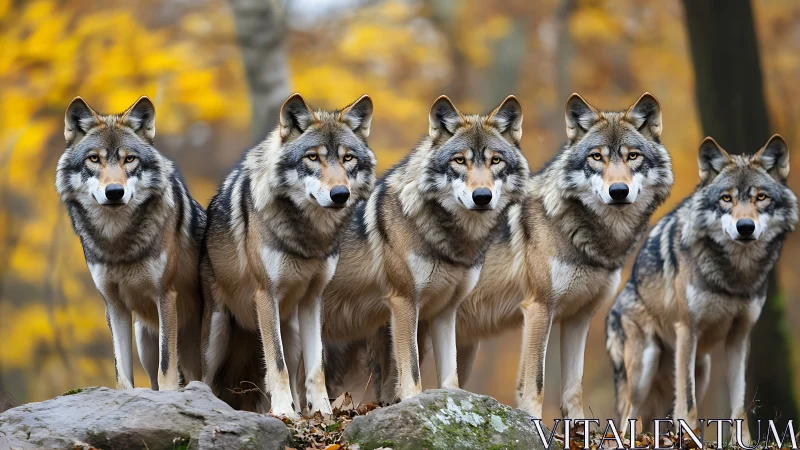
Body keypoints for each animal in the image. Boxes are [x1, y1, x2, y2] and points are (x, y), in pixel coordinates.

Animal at [55, 96, 206, 391]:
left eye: (130, 159)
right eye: (94, 158)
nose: (115, 192)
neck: (118, 243)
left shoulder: (165, 295)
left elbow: (166, 368)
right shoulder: (114, 306)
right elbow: (122, 375)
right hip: (145, 341)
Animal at [200, 93, 376, 418]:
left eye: (348, 158)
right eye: (313, 157)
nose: (340, 195)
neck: (309, 237)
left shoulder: (313, 299)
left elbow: (316, 368)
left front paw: (323, 412)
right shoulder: (265, 295)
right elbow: (276, 365)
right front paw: (282, 411)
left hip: (291, 330)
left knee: (295, 373)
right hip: (216, 336)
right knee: (202, 376)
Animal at [320, 95, 530, 403]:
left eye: (496, 160)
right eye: (459, 161)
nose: (482, 197)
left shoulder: (446, 309)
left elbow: (450, 374)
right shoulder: (403, 302)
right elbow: (412, 370)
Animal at [453, 93, 673, 420]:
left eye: (633, 156)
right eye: (596, 157)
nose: (618, 191)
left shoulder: (579, 318)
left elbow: (573, 388)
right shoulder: (538, 308)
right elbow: (536, 384)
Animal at [606, 135, 797, 440]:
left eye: (761, 197)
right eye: (726, 198)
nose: (745, 227)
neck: (735, 276)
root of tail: (614, 305)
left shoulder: (739, 337)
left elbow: (739, 404)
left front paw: (743, 442)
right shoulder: (687, 329)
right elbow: (688, 403)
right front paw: (691, 440)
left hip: (701, 368)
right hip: (643, 371)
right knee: (626, 418)